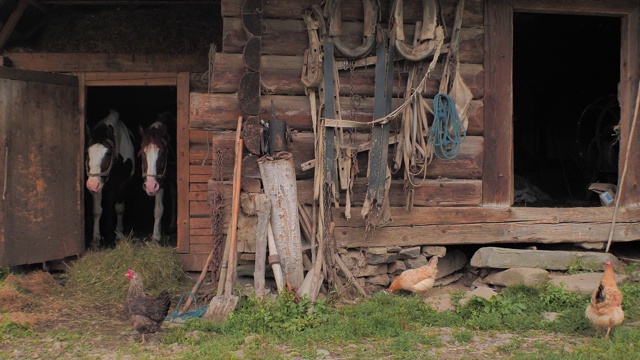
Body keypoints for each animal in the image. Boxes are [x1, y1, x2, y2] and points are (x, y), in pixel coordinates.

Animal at [85, 109, 135, 249]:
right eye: (87, 152)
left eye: (107, 154)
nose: (91, 184)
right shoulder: (99, 185)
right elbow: (97, 210)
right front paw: (96, 239)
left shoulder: (123, 183)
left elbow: (119, 208)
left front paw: (118, 235)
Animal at [138, 112, 176, 242]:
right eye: (142, 153)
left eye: (162, 153)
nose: (149, 186)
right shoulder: (160, 180)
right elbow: (158, 209)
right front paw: (156, 236)